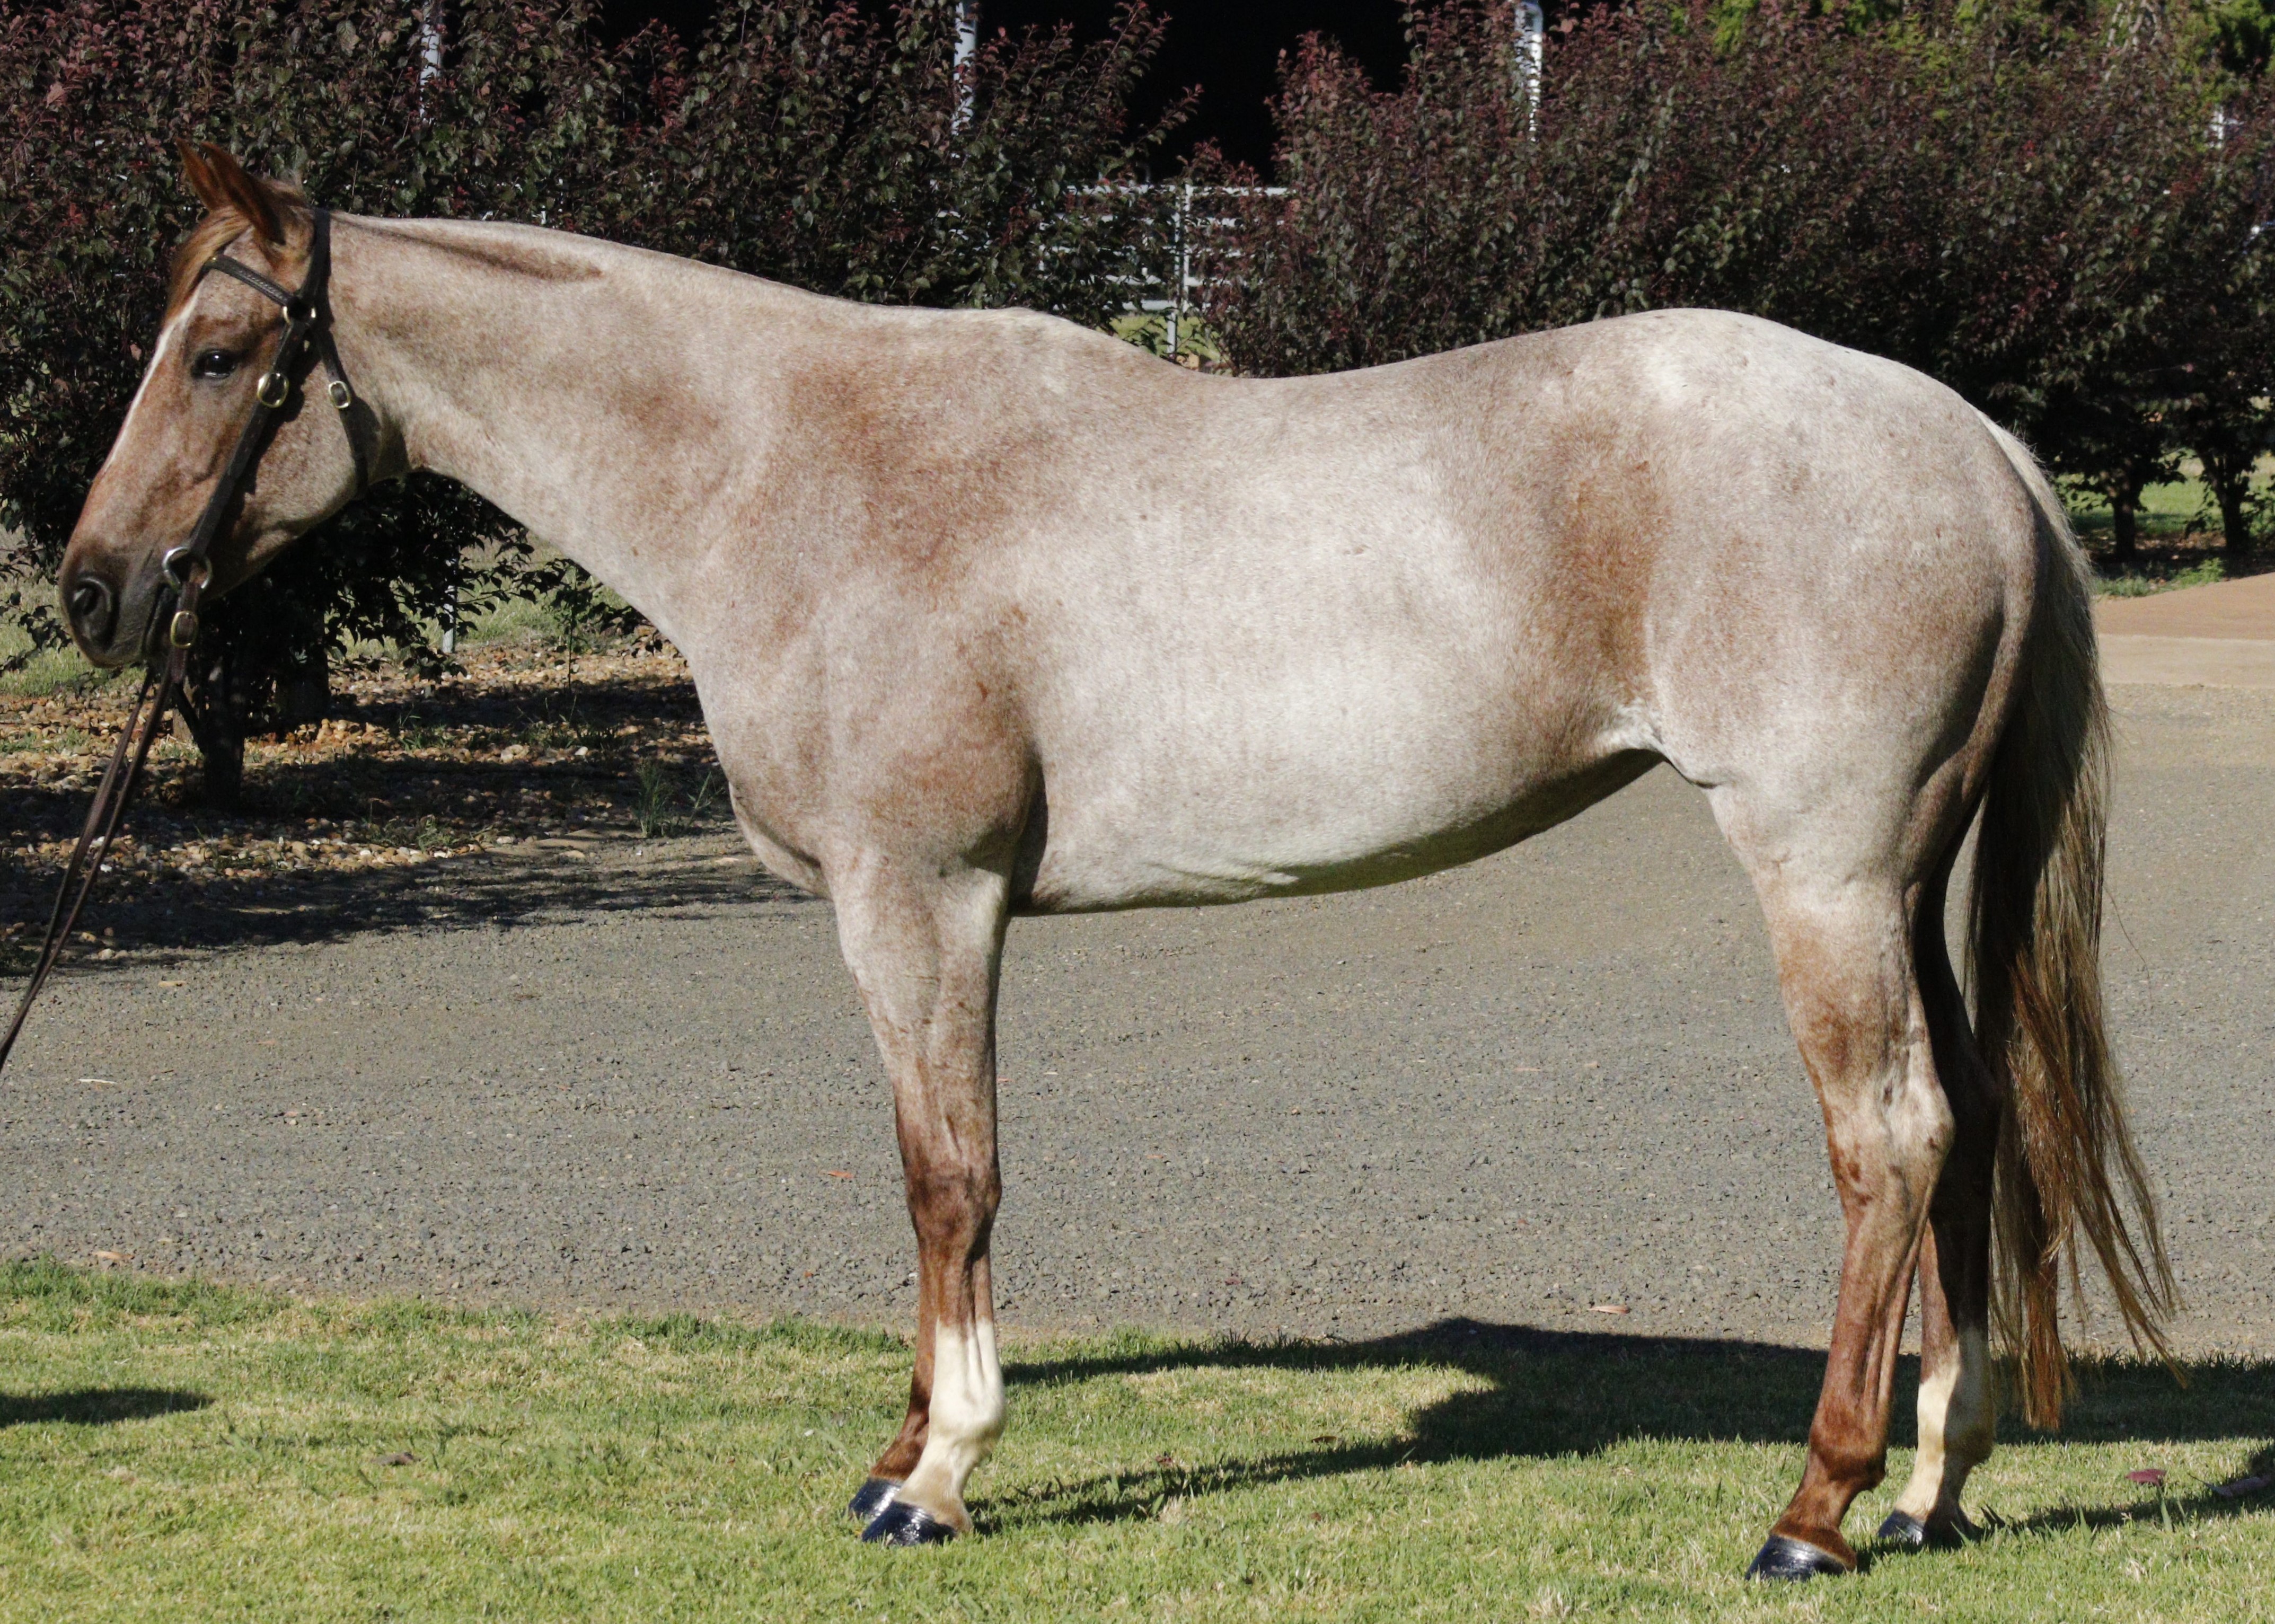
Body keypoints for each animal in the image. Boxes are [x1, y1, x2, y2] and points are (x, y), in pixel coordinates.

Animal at [56, 143, 2172, 1575]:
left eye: (224, 349)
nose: (91, 591)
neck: (789, 465)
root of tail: (1966, 436)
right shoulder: (906, 914)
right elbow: (925, 1176)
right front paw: (900, 1444)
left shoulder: (922, 898)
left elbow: (950, 1174)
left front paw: (937, 1474)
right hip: (1903, 883)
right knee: (1971, 1126)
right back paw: (1930, 1481)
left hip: (1823, 876)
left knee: (1890, 1138)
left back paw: (1814, 1502)